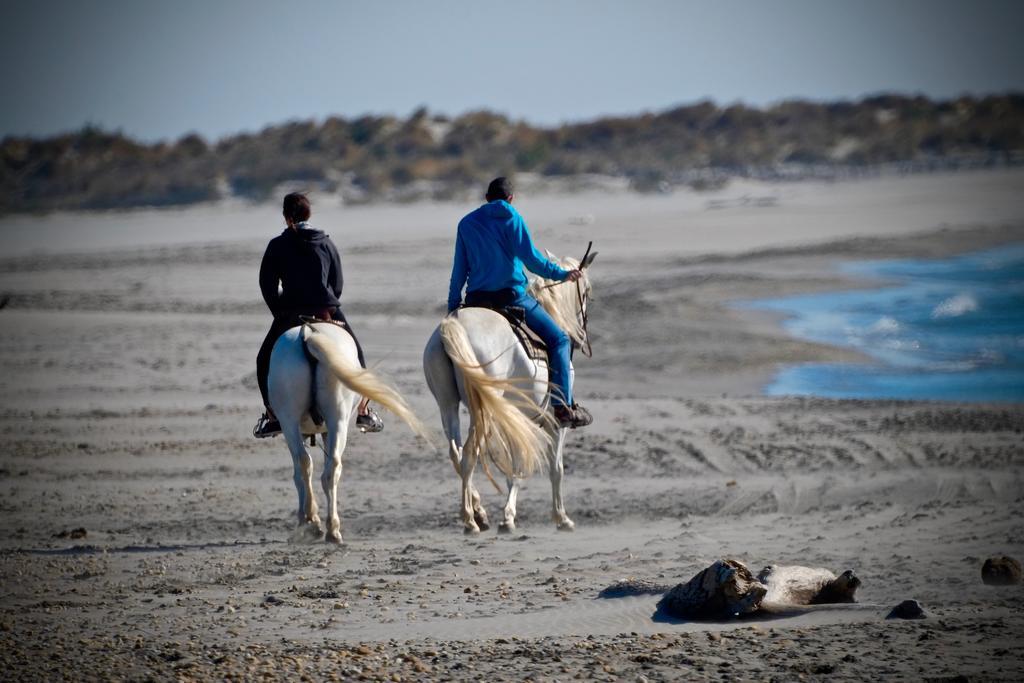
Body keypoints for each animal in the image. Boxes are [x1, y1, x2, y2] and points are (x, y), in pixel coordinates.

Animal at [268, 321, 428, 544]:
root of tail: (307, 335)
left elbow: (300, 475)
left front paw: (307, 517)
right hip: (327, 420)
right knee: (327, 467)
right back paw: (330, 529)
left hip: (301, 420)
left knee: (309, 464)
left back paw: (318, 525)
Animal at [419, 254, 593, 532]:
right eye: (586, 293)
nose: (581, 337)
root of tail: (455, 325)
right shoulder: (556, 421)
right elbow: (555, 468)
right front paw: (561, 517)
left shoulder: (514, 417)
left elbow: (515, 468)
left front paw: (507, 516)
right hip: (482, 411)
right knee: (470, 454)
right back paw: (470, 520)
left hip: (448, 405)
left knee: (456, 453)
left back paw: (479, 512)